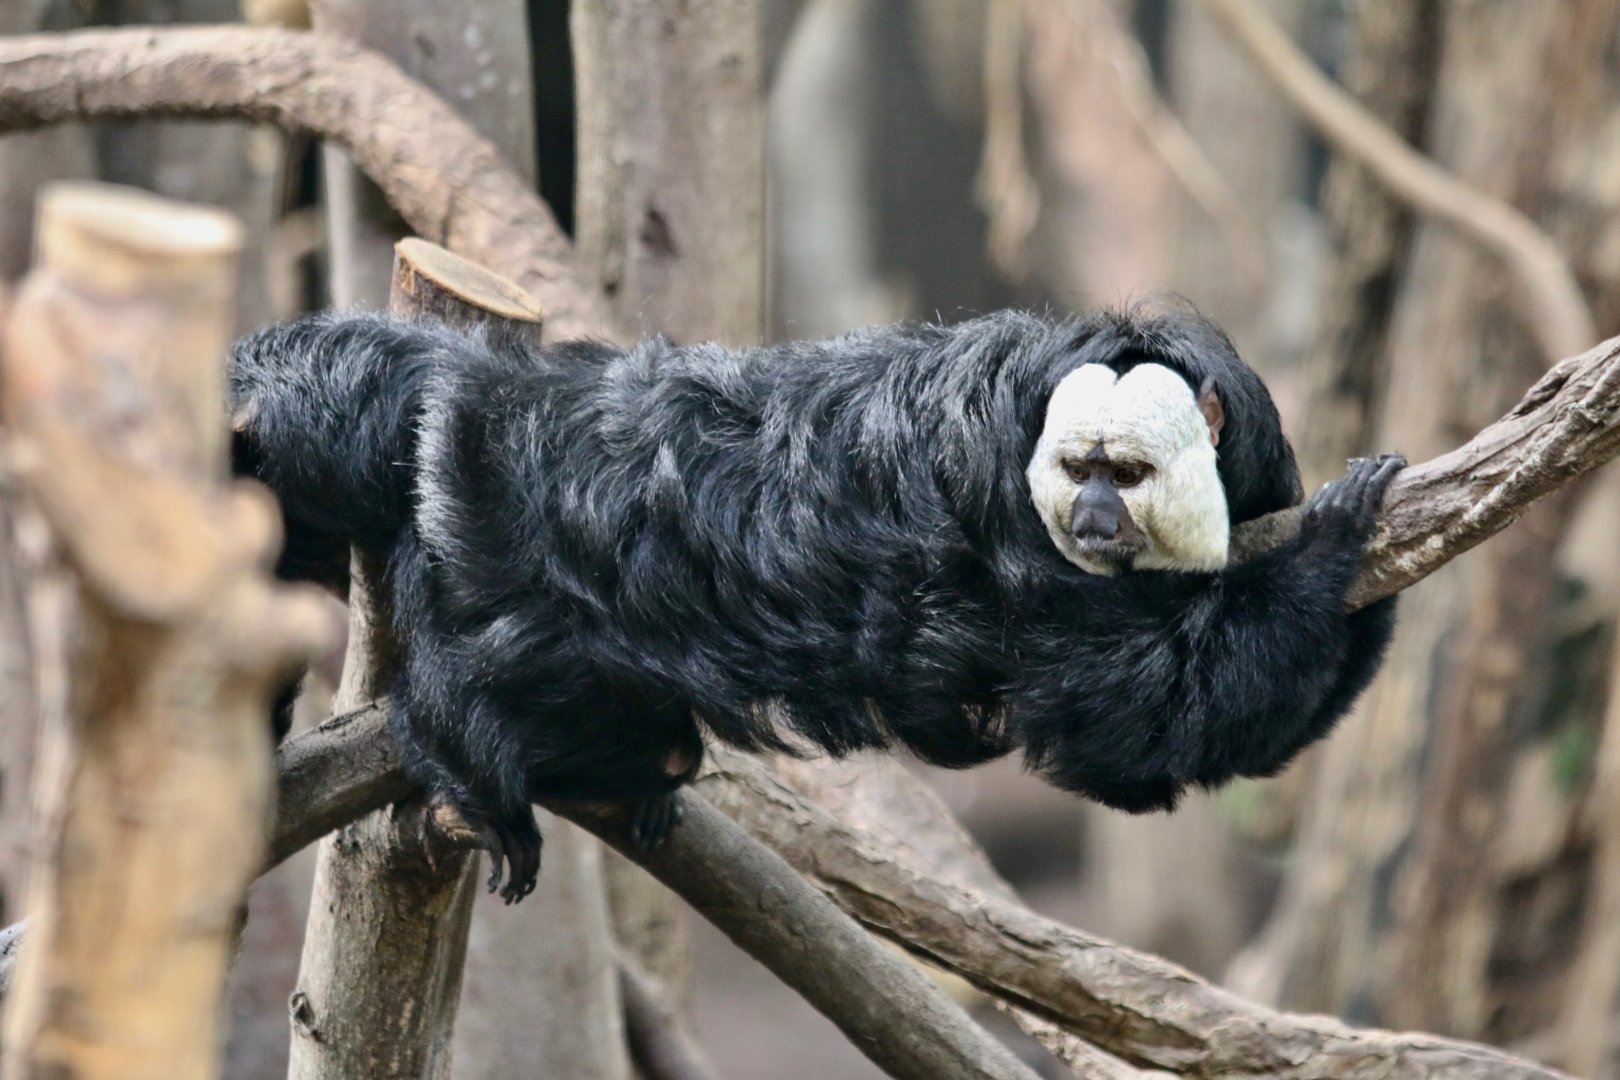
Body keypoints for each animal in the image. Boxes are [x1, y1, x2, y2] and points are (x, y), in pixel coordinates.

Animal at [231, 305, 1402, 902]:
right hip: (489, 532)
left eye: (1128, 471)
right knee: (490, 665)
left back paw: (632, 768)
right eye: (1082, 468)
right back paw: (474, 769)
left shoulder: (1254, 461)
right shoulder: (1016, 537)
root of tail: (482, 388)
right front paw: (1334, 557)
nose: (1095, 517)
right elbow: (1136, 713)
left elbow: (1161, 751)